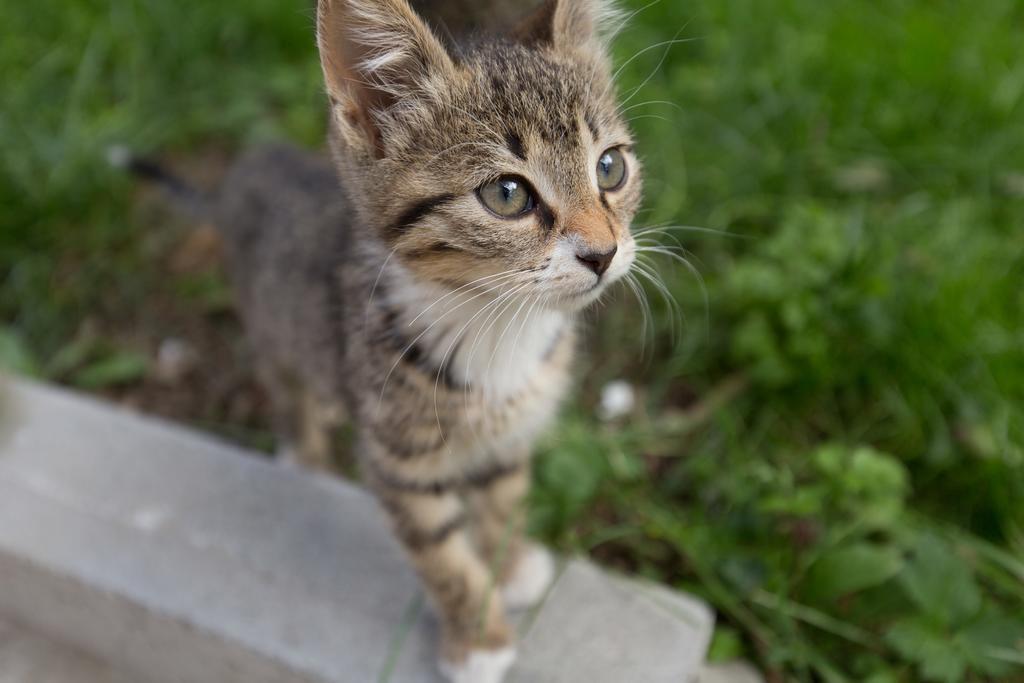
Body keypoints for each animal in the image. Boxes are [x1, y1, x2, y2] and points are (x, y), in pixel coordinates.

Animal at [212, 1, 638, 683]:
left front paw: (509, 566)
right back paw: (303, 452)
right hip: (269, 327)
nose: (603, 253)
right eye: (507, 194)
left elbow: (502, 500)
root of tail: (252, 163)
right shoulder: (401, 464)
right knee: (285, 383)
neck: (498, 328)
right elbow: (442, 556)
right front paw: (478, 638)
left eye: (610, 167)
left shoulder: (507, 437)